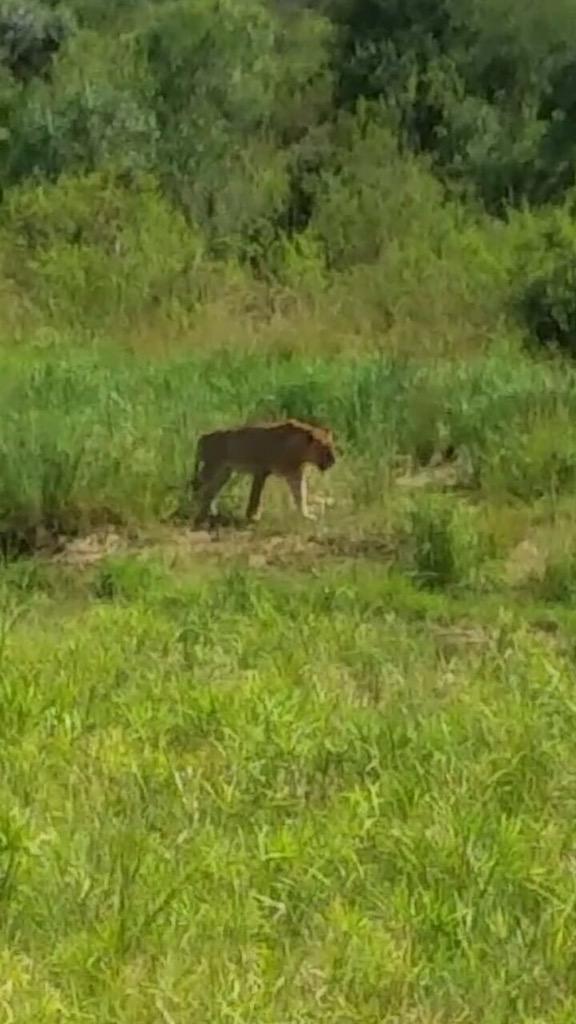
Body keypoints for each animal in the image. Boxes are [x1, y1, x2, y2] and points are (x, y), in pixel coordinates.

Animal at [191, 418, 336, 527]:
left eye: (332, 445)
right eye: (325, 448)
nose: (333, 461)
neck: (301, 450)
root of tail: (203, 437)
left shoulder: (295, 475)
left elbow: (301, 496)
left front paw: (306, 516)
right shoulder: (261, 470)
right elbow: (256, 496)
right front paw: (253, 517)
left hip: (224, 473)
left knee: (211, 491)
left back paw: (212, 513)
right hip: (212, 467)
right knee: (199, 488)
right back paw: (196, 509)